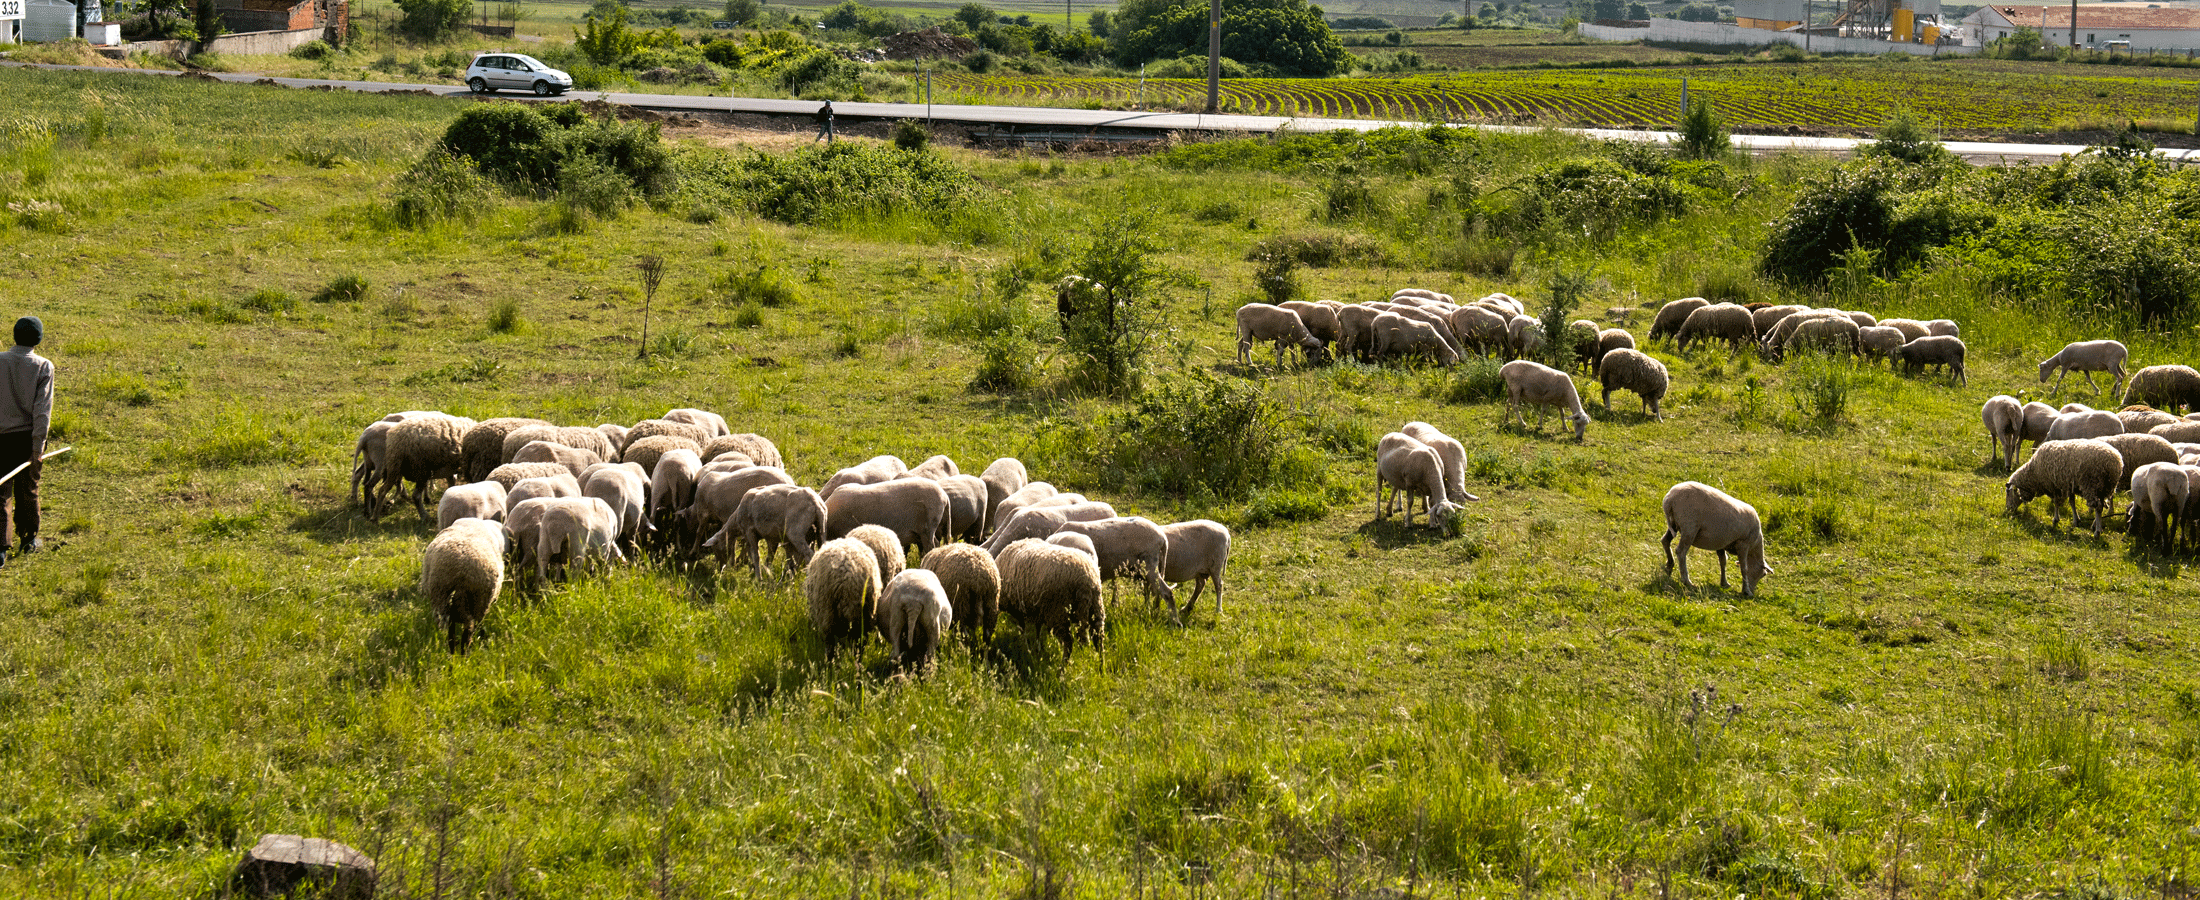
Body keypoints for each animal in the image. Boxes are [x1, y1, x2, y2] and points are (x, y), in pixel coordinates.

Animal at [1051, 514, 1179, 620]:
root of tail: (1163, 539)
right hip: (1147, 568)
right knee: (1153, 592)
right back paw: (1151, 612)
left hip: (1149, 565)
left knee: (1166, 592)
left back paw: (1175, 622)